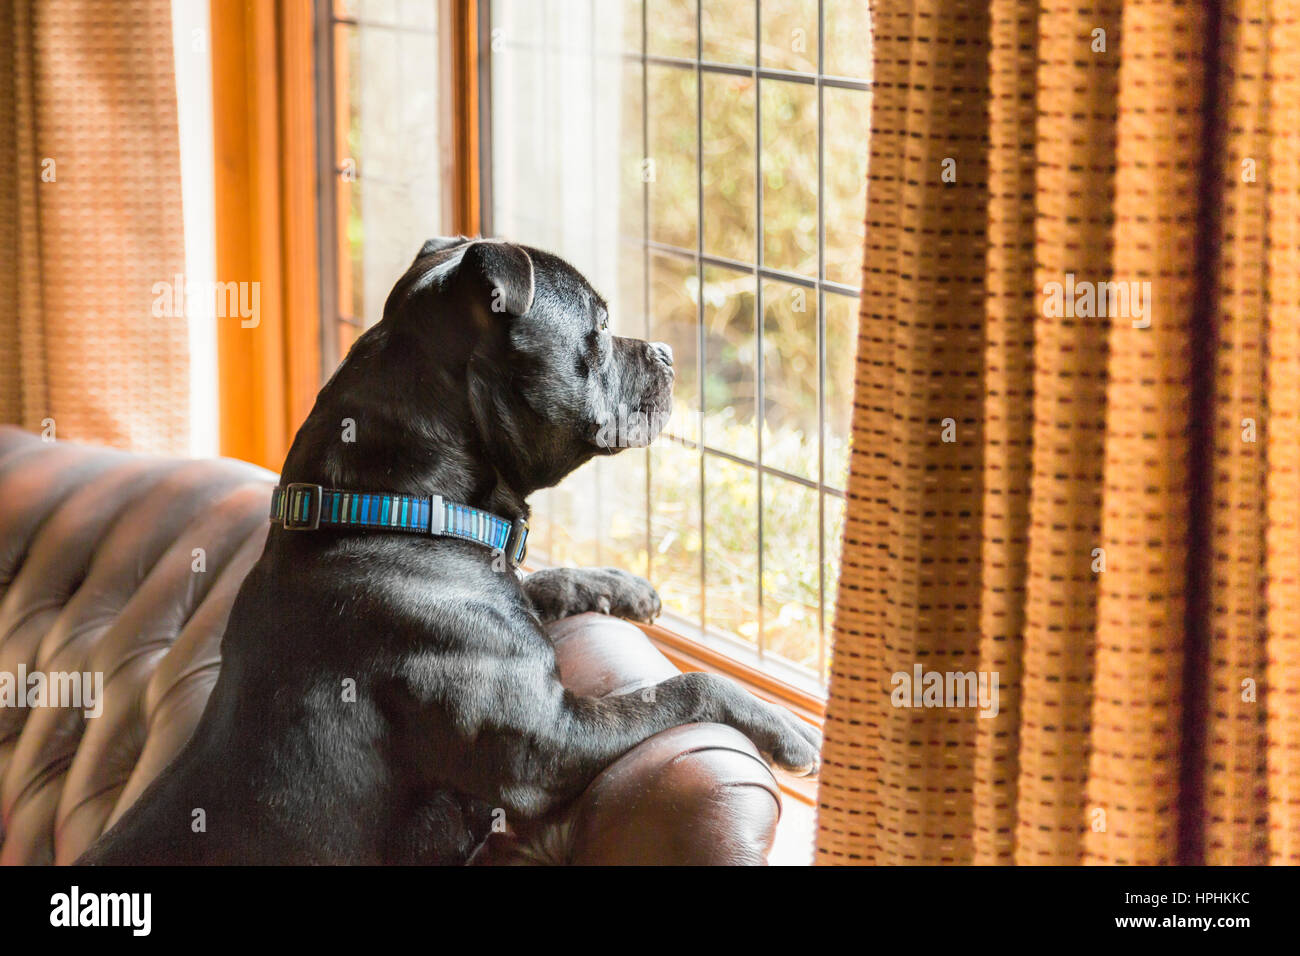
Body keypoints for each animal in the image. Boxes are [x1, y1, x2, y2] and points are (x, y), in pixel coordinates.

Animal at [81, 239, 816, 868]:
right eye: (601, 326)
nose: (665, 352)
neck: (392, 508)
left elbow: (546, 580)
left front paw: (622, 586)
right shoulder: (547, 743)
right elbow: (685, 687)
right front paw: (786, 729)